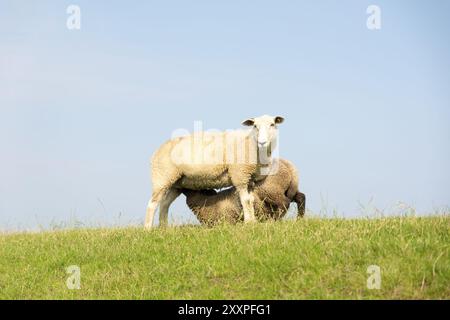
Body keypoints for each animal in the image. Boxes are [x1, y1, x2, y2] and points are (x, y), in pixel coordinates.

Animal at [144, 114, 284, 229]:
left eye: (272, 124)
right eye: (255, 126)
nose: (262, 142)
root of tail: (157, 150)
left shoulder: (249, 179)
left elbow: (251, 200)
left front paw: (252, 221)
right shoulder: (240, 175)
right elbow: (246, 200)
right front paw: (249, 223)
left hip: (176, 183)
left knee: (164, 204)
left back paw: (164, 228)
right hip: (162, 177)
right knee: (152, 204)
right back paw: (148, 229)